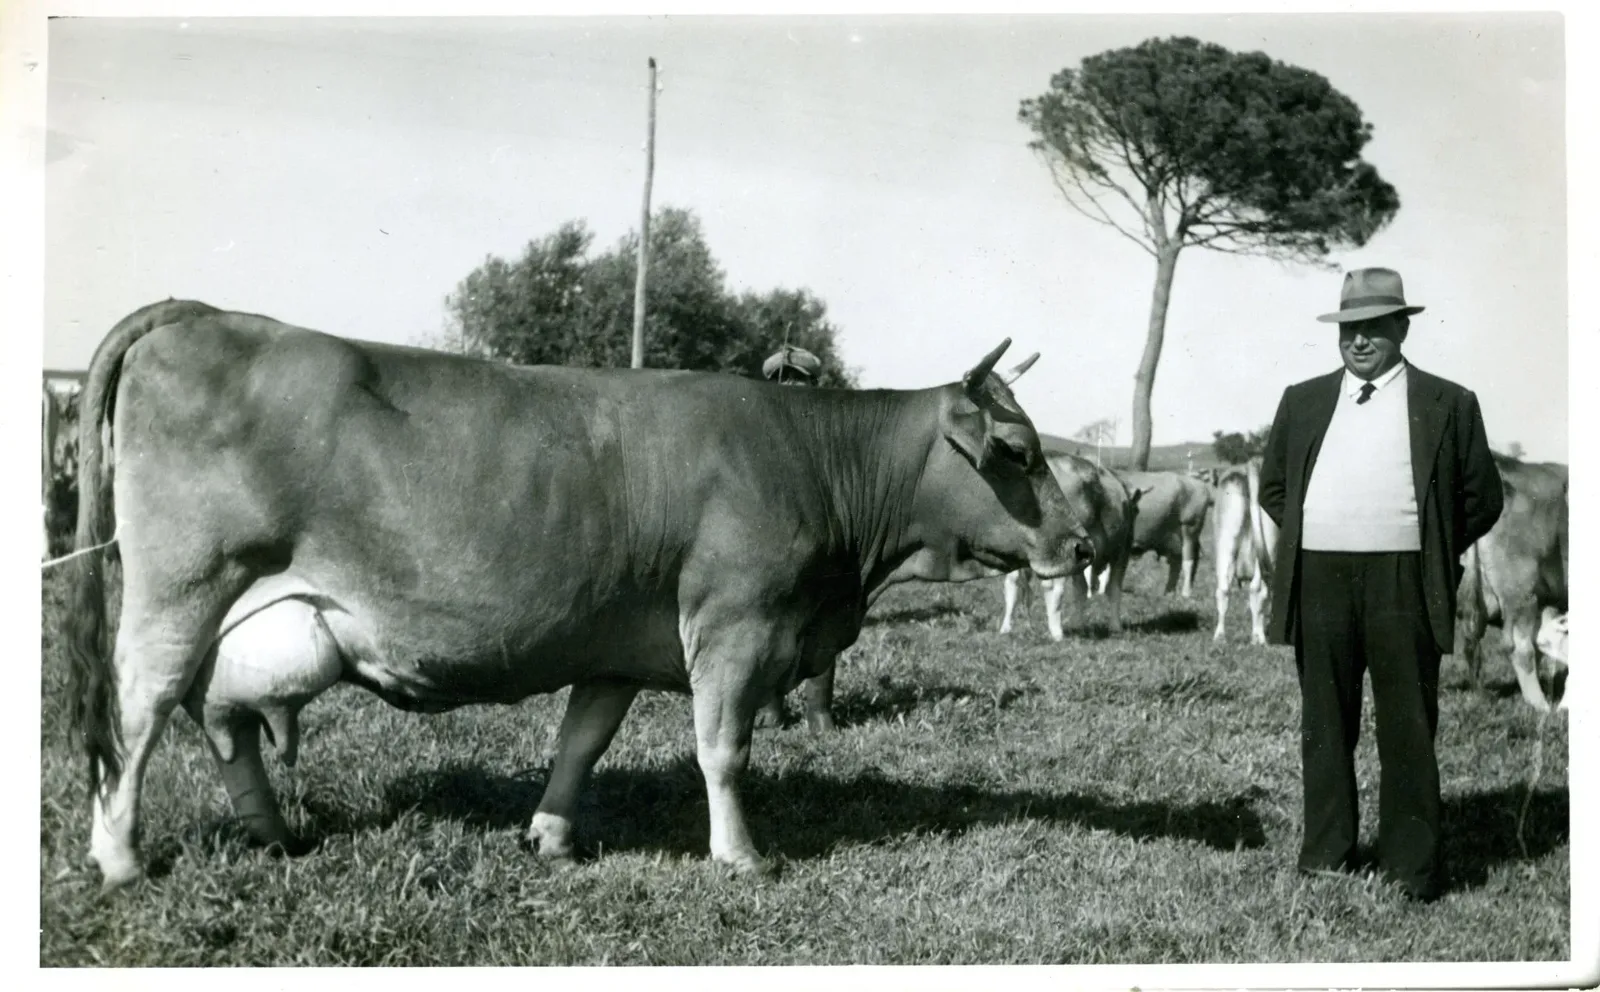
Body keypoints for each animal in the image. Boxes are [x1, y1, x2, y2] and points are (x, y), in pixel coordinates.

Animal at [63, 299, 1097, 894]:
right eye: (1016, 450)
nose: (1082, 542)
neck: (810, 457)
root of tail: (205, 314)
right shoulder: (737, 627)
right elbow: (723, 750)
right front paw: (740, 855)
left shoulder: (616, 644)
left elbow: (581, 742)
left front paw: (552, 837)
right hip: (181, 587)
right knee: (143, 708)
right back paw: (119, 858)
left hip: (238, 612)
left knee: (219, 716)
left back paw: (273, 833)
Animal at [1109, 470, 1213, 599]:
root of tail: (1198, 483)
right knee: (1177, 561)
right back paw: (1169, 593)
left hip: (1189, 529)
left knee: (1189, 560)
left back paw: (1185, 594)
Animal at [1211, 457, 1279, 644]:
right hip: (1268, 546)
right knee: (1259, 589)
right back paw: (1258, 638)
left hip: (1226, 539)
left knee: (1223, 589)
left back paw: (1220, 636)